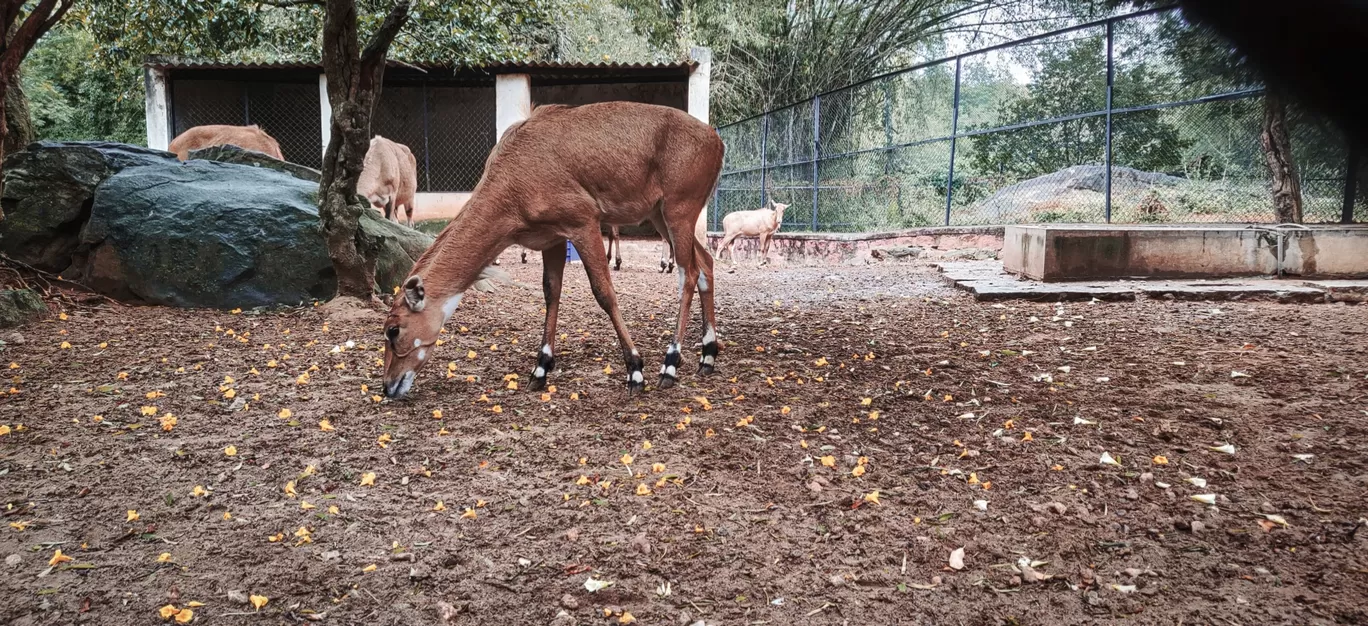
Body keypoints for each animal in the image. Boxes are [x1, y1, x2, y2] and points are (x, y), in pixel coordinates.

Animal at [383, 101, 727, 399]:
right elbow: (551, 291)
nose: (388, 387)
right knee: (705, 263)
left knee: (688, 272)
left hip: (679, 210)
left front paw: (635, 369)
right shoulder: (552, 238)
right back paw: (707, 356)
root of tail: (717, 142)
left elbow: (603, 291)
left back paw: (670, 364)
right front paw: (540, 368)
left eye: (393, 330)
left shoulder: (584, 222)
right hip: (661, 214)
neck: (514, 177)